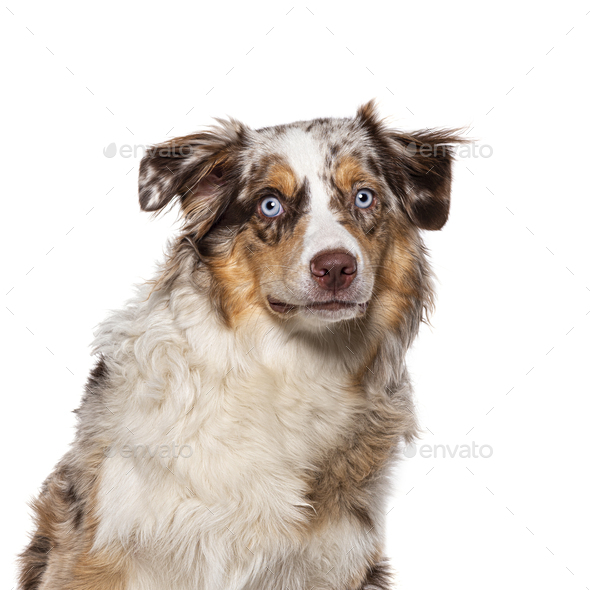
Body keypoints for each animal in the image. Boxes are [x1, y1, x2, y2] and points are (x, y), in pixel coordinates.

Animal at [17, 103, 462, 590]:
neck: (291, 361)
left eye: (364, 197)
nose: (336, 268)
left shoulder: (335, 560)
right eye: (270, 204)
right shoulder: (99, 546)